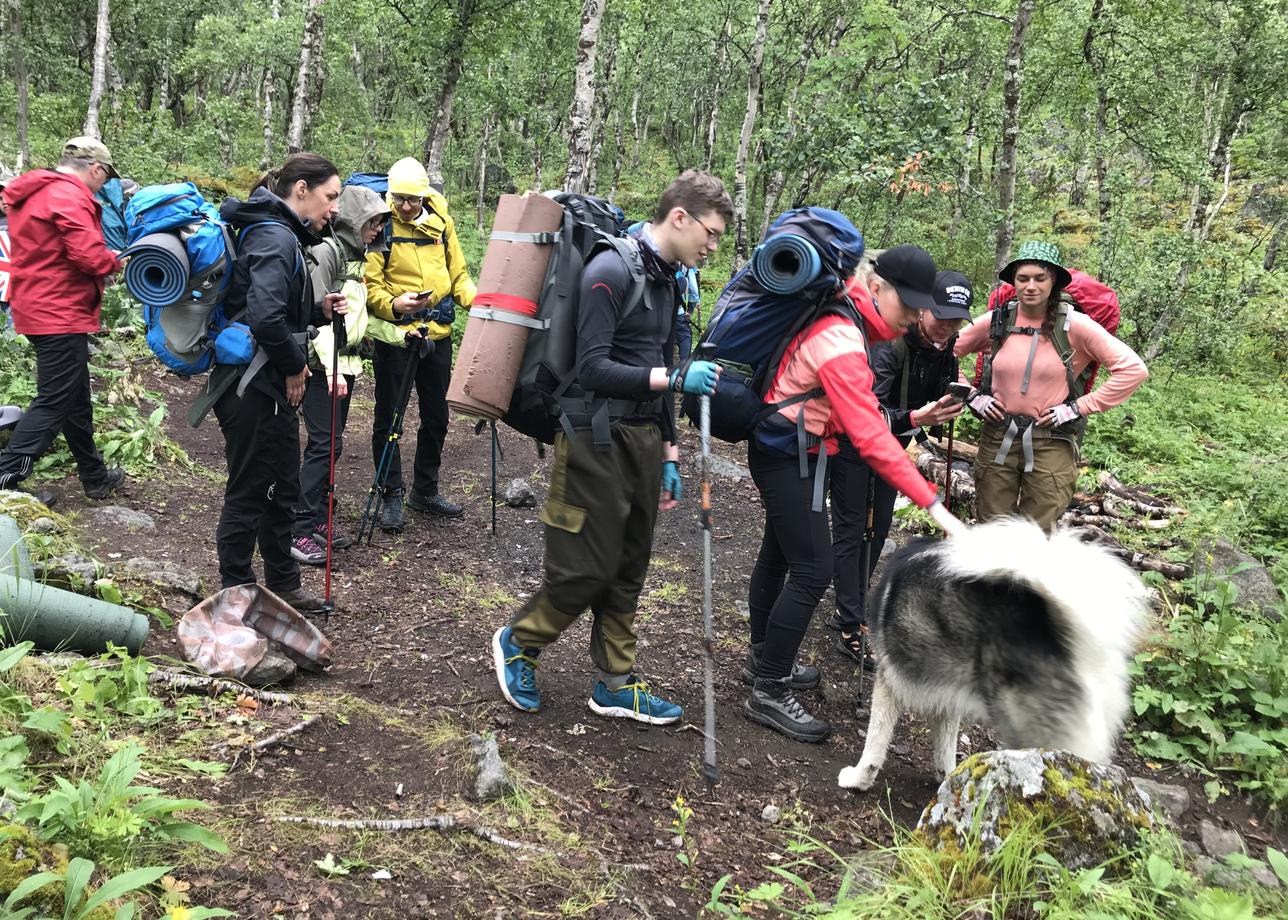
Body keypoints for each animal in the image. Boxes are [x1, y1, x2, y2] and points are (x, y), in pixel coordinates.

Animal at [839, 515, 1154, 788]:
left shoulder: (888, 683)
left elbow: (874, 743)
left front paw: (858, 779)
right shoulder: (946, 699)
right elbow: (945, 749)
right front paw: (948, 779)